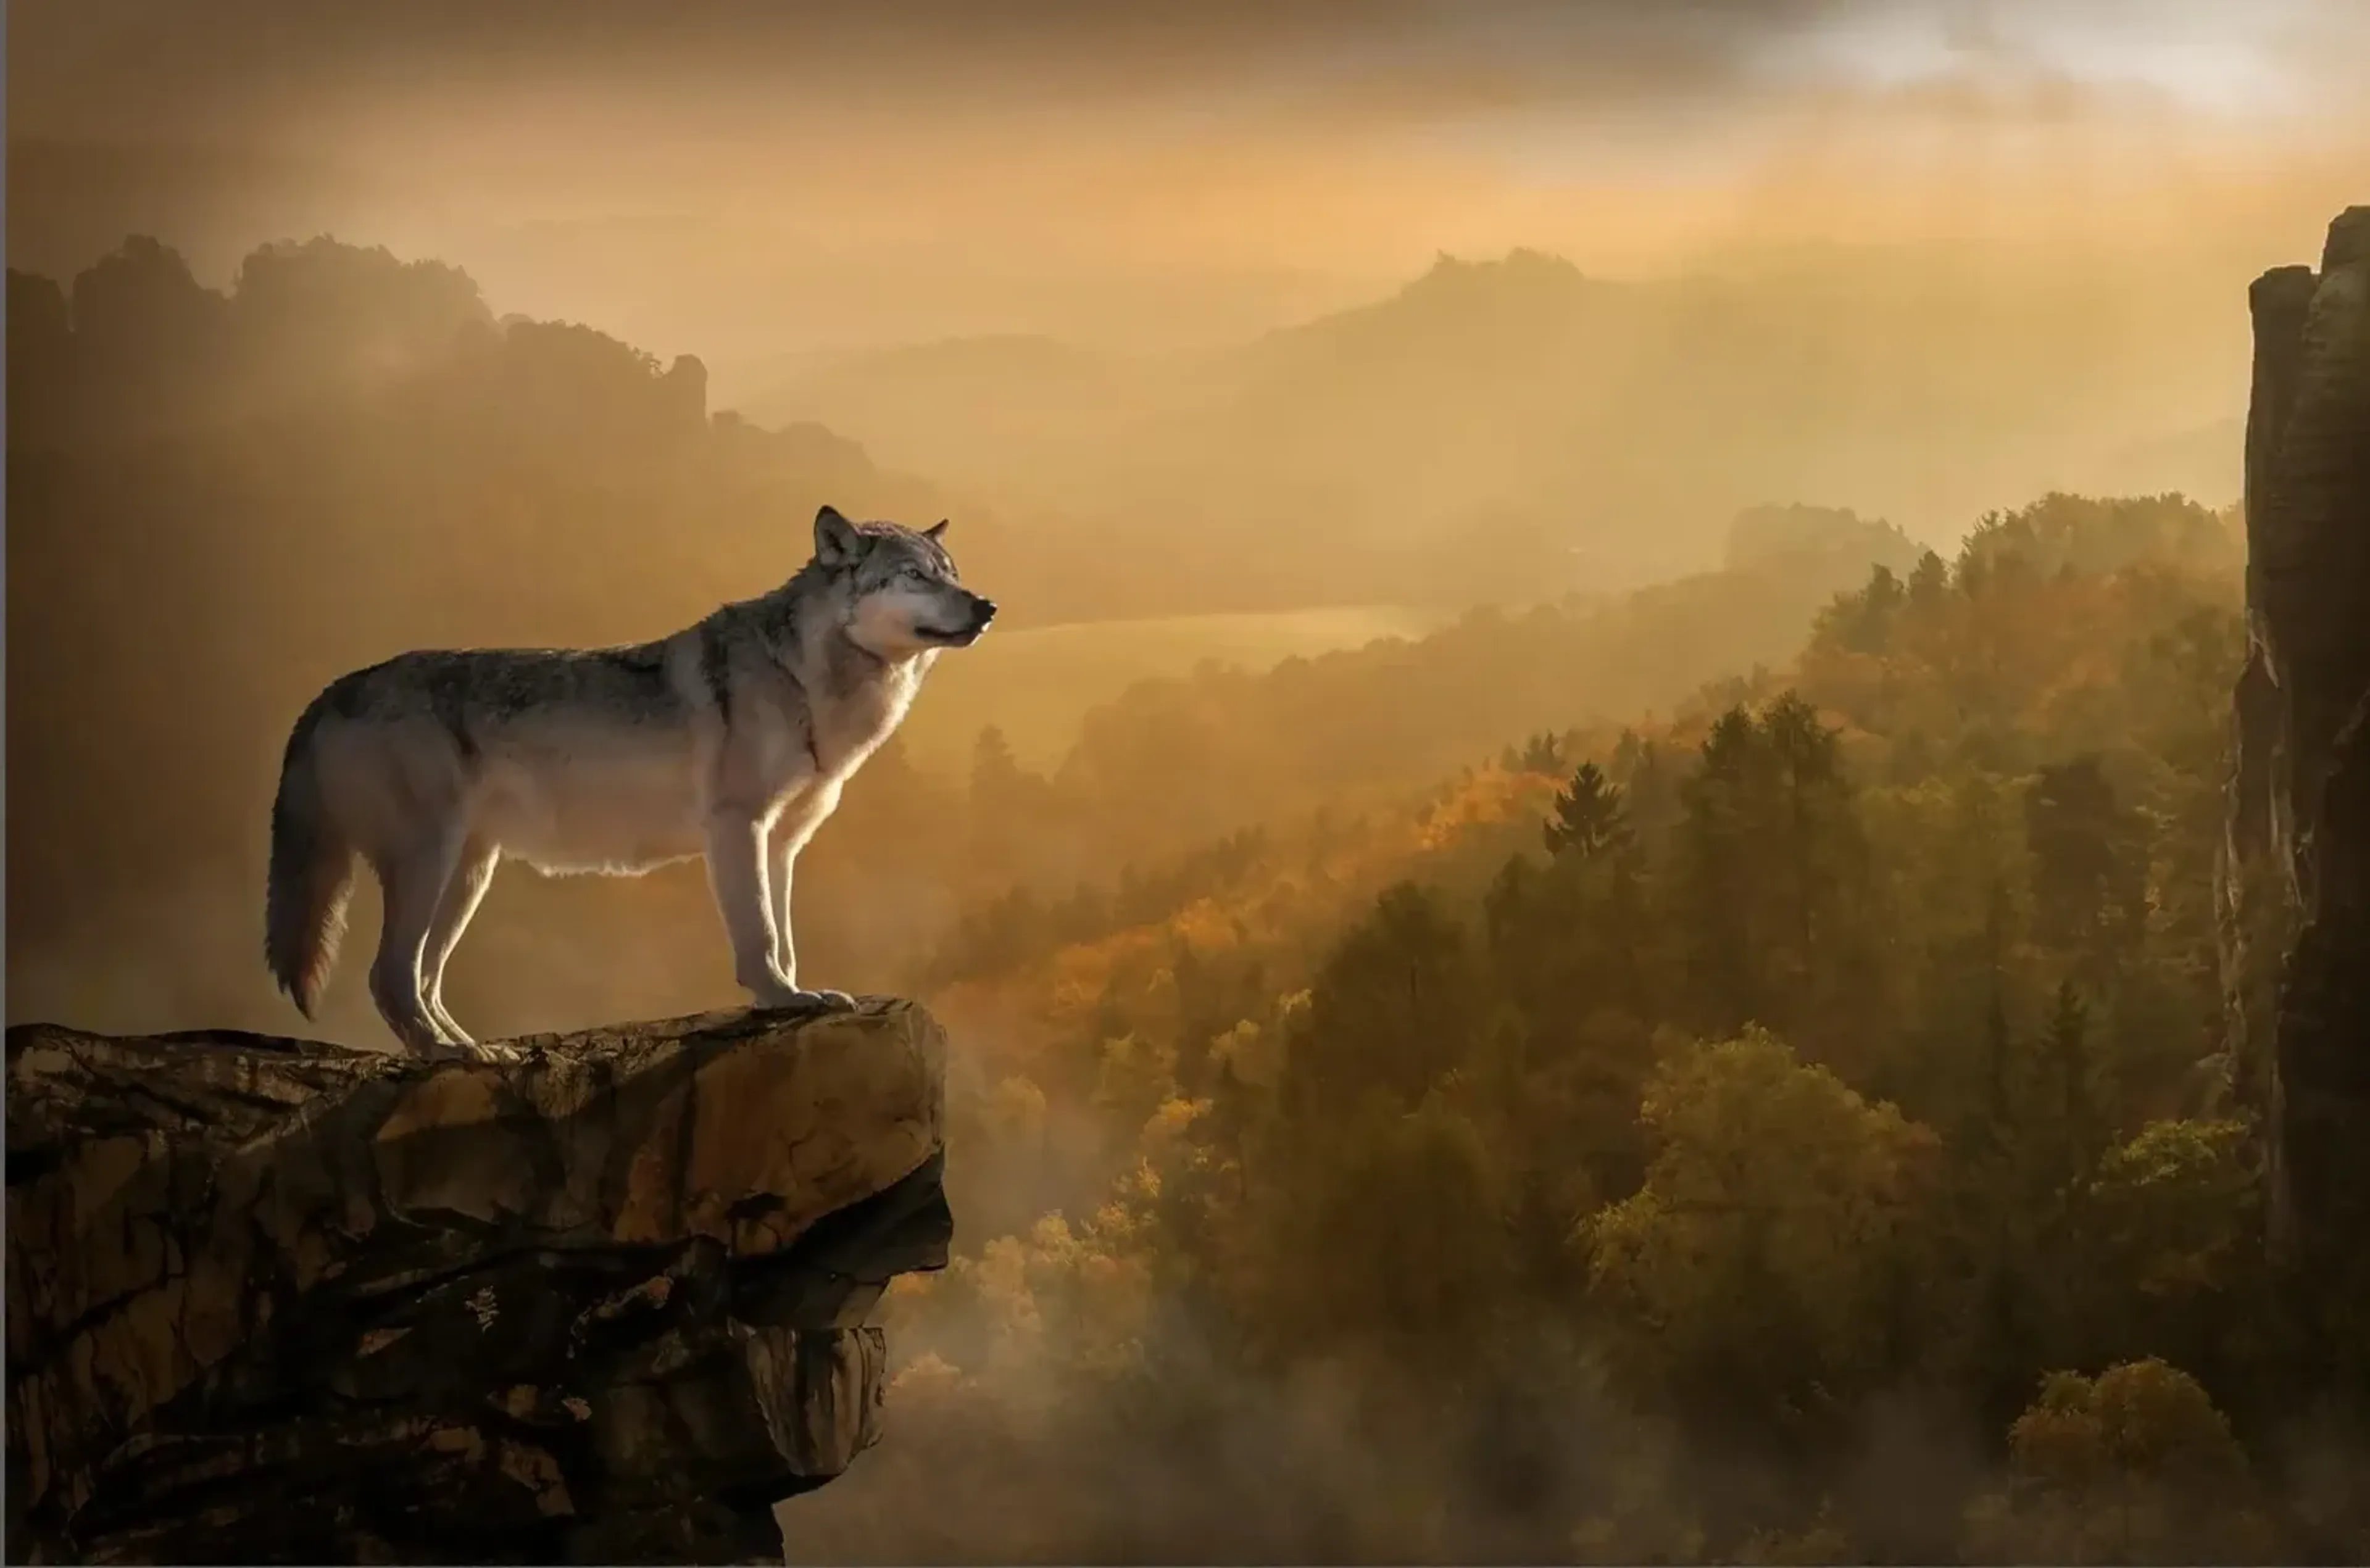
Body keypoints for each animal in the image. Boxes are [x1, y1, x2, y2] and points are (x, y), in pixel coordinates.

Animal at [263, 505, 995, 1059]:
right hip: (430, 864)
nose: (987, 606)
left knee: (425, 978)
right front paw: (781, 999)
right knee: (390, 976)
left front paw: (795, 995)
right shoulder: (738, 827)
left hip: (469, 876)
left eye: (953, 574)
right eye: (914, 576)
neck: (806, 679)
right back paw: (448, 1056)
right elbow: (759, 935)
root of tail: (333, 690)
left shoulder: (782, 843)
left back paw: (474, 1050)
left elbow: (785, 936)